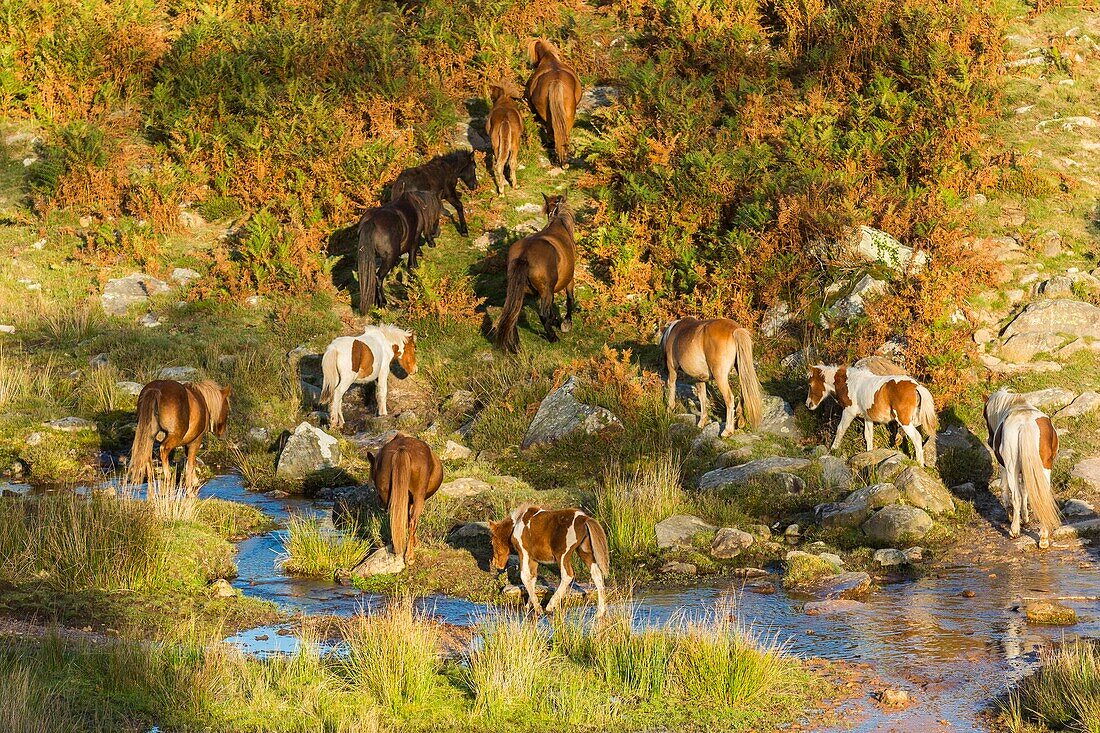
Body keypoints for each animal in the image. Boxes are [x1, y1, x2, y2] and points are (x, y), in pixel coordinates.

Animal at [492, 191, 576, 352]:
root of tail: (524, 254)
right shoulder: (569, 279)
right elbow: (569, 299)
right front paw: (566, 322)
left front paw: (555, 320)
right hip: (545, 291)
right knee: (542, 315)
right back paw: (552, 337)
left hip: (520, 291)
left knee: (513, 313)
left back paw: (515, 344)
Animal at [809, 363, 937, 464]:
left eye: (810, 384)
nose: (808, 404)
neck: (849, 383)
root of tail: (916, 386)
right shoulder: (867, 418)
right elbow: (868, 435)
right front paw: (869, 454)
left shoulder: (848, 412)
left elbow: (840, 429)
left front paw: (833, 450)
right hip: (914, 417)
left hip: (904, 419)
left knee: (917, 437)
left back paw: (919, 463)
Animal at [985, 385, 1060, 545]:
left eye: (985, 414)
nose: (989, 440)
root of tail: (1026, 424)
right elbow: (1026, 491)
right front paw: (1025, 517)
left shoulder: (1004, 468)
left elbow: (1006, 490)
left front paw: (1011, 516)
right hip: (1044, 468)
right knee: (1042, 498)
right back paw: (1043, 538)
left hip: (1011, 468)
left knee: (1016, 496)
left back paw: (1014, 530)